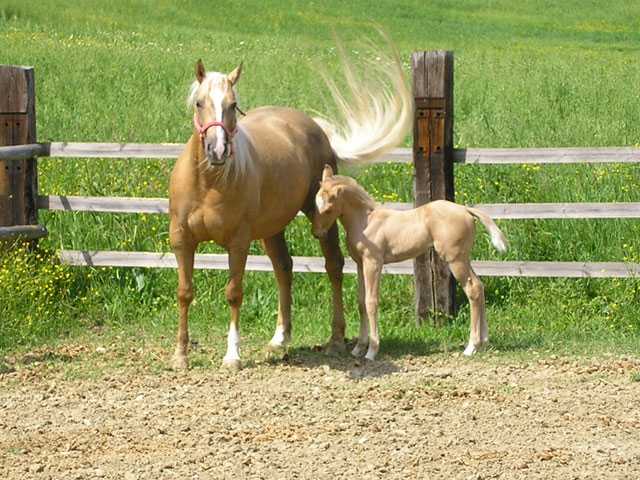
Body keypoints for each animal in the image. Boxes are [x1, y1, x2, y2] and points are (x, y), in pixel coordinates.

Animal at [168, 39, 412, 370]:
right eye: (199, 103)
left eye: (232, 104)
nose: (217, 150)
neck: (209, 183)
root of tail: (316, 129)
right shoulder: (182, 240)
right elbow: (184, 292)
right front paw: (180, 355)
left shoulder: (238, 242)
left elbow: (234, 293)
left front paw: (232, 356)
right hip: (273, 228)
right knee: (283, 268)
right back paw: (279, 339)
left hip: (321, 218)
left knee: (333, 266)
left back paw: (336, 339)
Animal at [312, 167, 508, 362]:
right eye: (315, 204)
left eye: (328, 209)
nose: (316, 233)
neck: (366, 221)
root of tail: (465, 209)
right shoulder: (360, 264)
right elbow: (361, 303)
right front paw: (359, 348)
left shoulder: (373, 263)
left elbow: (371, 302)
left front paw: (372, 351)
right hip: (463, 258)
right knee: (479, 286)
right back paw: (484, 341)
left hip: (455, 259)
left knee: (472, 289)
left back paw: (471, 346)